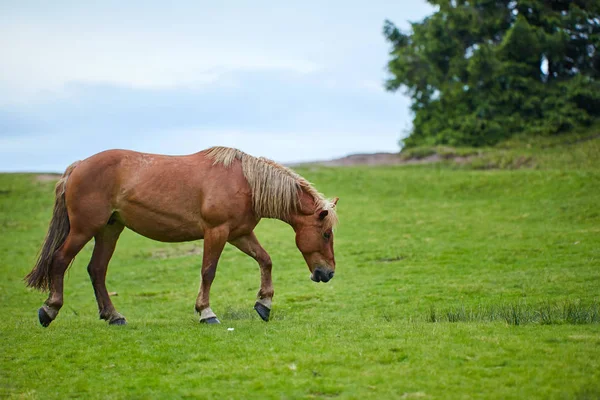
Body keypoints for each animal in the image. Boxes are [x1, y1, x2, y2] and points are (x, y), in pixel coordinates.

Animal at [24, 145, 338, 326]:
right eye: (325, 234)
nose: (328, 274)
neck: (246, 182)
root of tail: (78, 165)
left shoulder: (240, 234)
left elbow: (266, 261)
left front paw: (264, 304)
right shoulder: (217, 232)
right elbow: (208, 271)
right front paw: (206, 312)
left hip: (109, 230)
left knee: (97, 269)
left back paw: (114, 316)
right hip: (84, 229)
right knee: (60, 260)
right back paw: (49, 310)